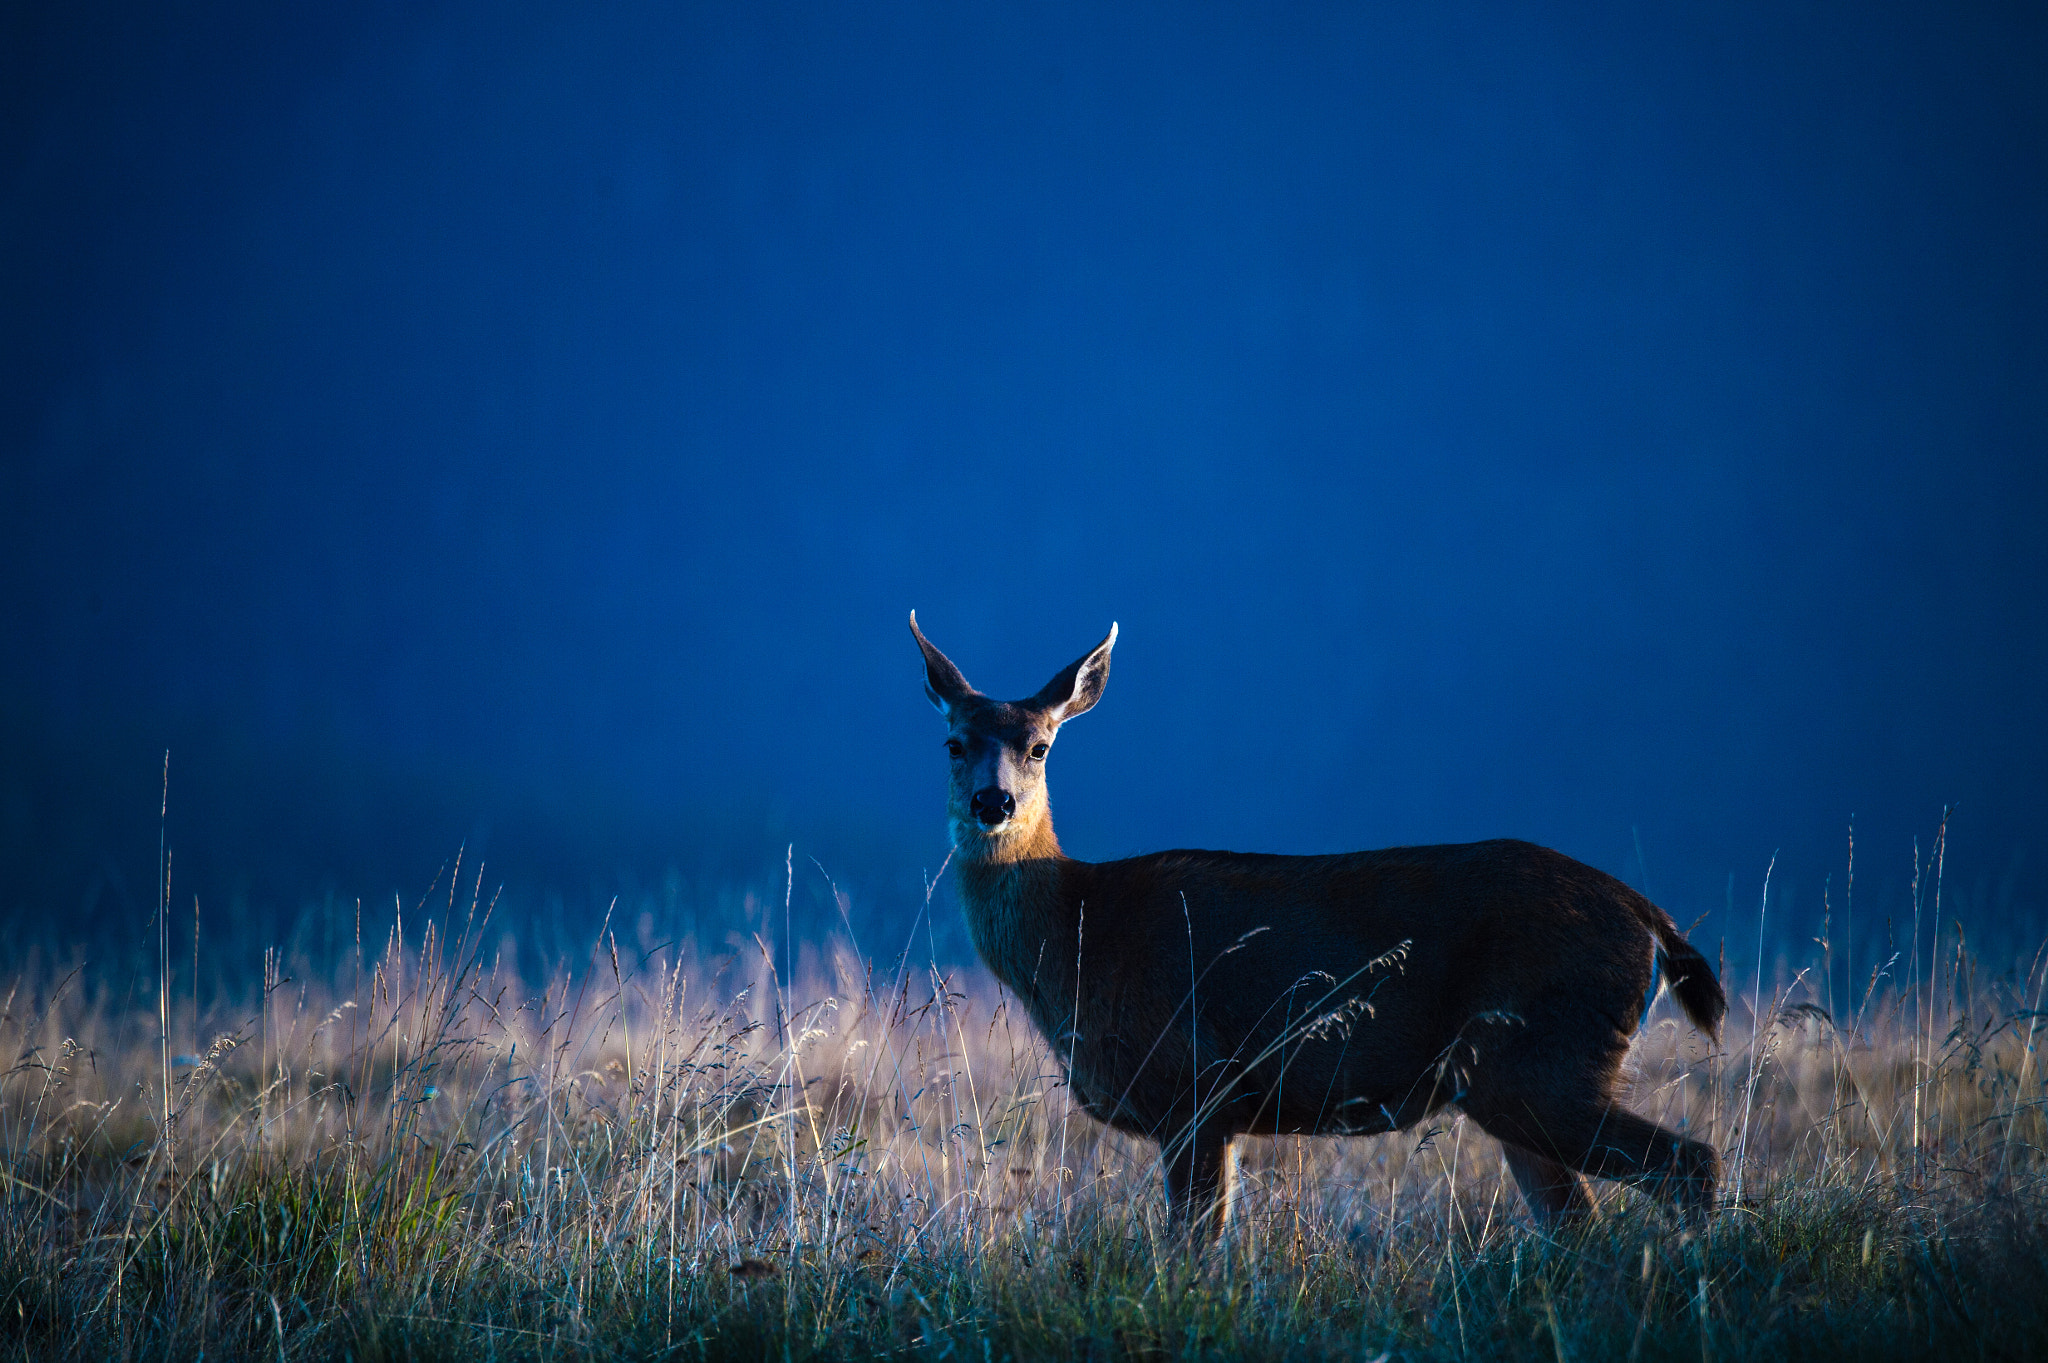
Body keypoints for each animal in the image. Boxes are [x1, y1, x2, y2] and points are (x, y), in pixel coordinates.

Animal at [909, 612, 1724, 1242]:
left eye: (1040, 745)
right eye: (953, 742)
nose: (993, 802)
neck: (1080, 931)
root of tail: (1649, 919)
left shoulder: (1191, 1085)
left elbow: (1193, 1246)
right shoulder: (1211, 1108)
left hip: (1544, 1059)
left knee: (1690, 1164)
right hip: (1521, 1077)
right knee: (1580, 1221)